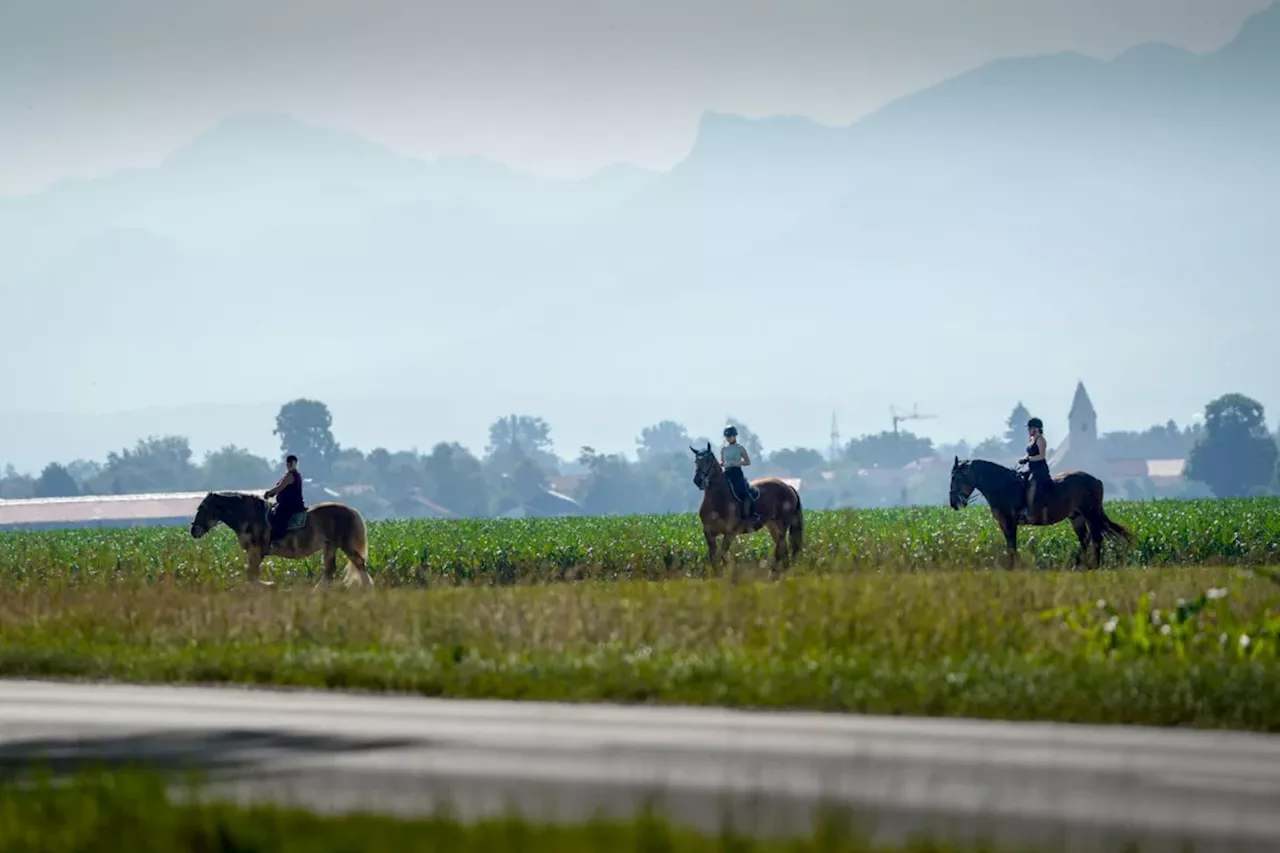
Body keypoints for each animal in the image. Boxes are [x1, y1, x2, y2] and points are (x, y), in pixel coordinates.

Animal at [186, 489, 373, 589]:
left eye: (201, 507)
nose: (194, 531)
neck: (249, 516)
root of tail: (350, 510)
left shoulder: (256, 550)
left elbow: (251, 575)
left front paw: (266, 586)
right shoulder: (255, 552)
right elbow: (251, 574)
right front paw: (267, 586)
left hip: (344, 544)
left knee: (358, 563)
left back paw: (368, 589)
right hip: (330, 546)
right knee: (330, 570)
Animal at [691, 440, 798, 573]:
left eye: (708, 460)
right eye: (696, 461)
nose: (698, 481)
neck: (717, 500)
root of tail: (788, 486)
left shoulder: (730, 532)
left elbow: (722, 555)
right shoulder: (708, 532)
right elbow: (714, 558)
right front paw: (718, 575)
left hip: (782, 524)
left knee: (780, 548)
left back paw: (774, 572)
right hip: (772, 525)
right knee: (783, 549)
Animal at [947, 455, 1136, 568]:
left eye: (957, 477)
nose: (954, 503)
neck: (1003, 486)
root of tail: (1096, 480)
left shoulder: (1009, 522)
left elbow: (1012, 546)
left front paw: (1013, 567)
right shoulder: (1004, 524)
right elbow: (1010, 546)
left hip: (1090, 514)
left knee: (1096, 539)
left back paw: (1094, 566)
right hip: (1076, 517)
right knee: (1084, 540)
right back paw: (1082, 566)